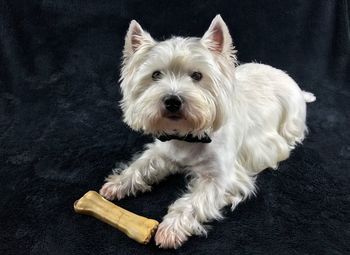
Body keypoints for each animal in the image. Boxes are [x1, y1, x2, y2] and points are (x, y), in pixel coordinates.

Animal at [98, 14, 314, 249]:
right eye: (155, 75)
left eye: (197, 75)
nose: (172, 100)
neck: (187, 136)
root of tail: (290, 80)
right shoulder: (163, 150)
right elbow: (141, 165)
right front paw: (118, 183)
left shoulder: (221, 178)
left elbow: (193, 201)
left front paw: (170, 229)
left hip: (290, 120)